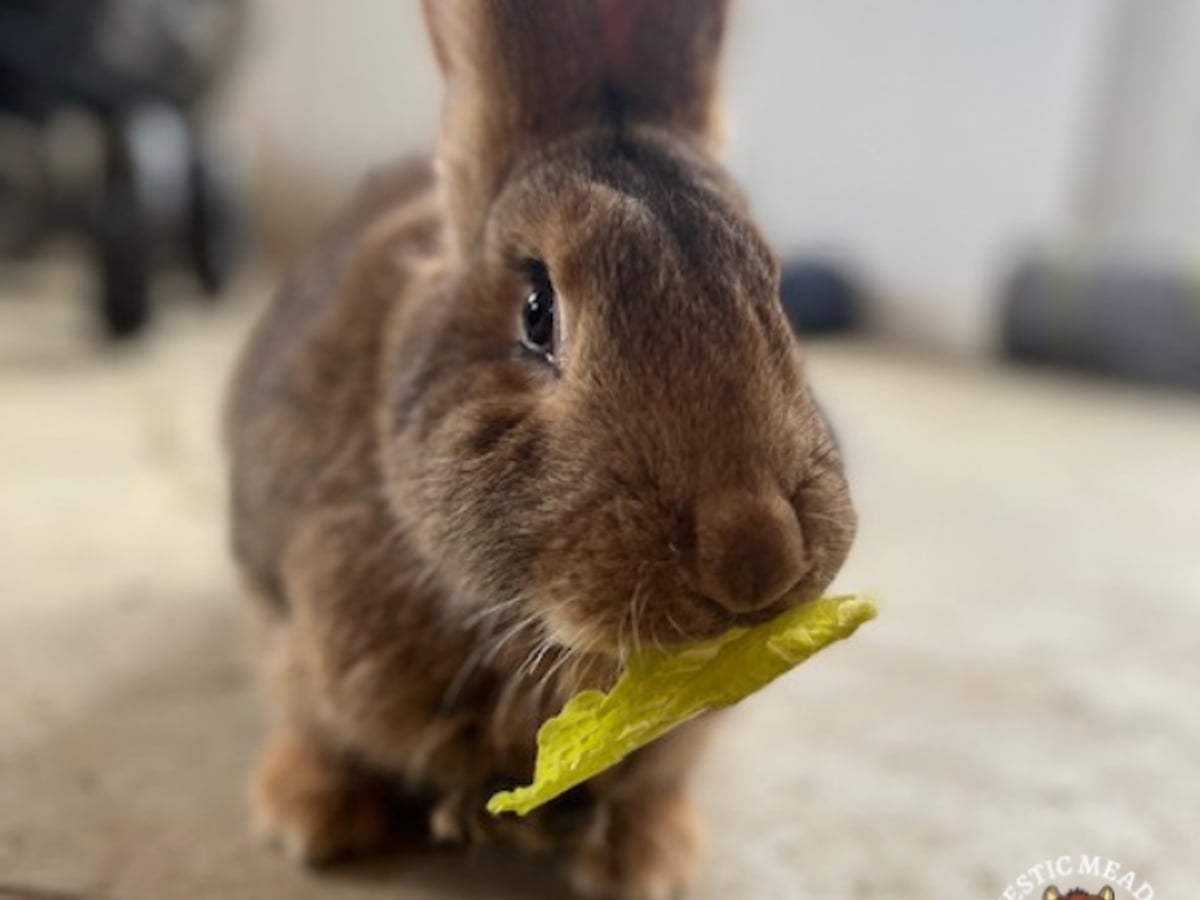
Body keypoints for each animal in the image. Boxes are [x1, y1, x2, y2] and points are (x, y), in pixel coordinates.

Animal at [225, 1, 858, 897]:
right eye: (536, 312)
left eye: (775, 295)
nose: (755, 557)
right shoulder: (287, 618)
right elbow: (309, 717)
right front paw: (308, 821)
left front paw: (649, 862)